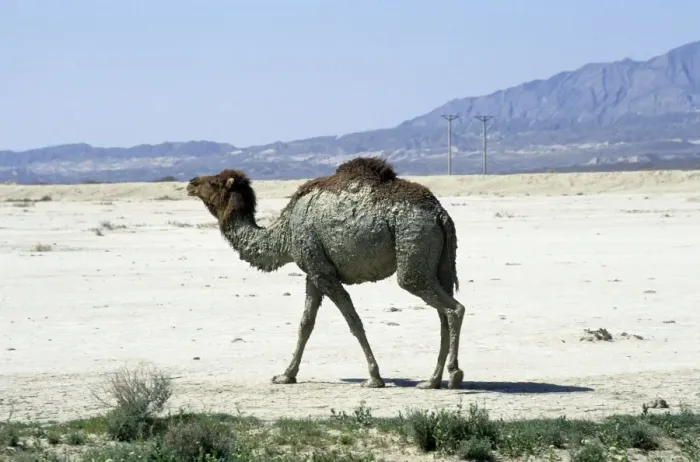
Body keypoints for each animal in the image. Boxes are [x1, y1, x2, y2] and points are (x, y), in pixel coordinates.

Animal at [186, 157, 466, 389]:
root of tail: (441, 215)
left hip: (412, 244)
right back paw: (432, 380)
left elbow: (353, 320)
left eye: (214, 182)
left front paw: (374, 377)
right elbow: (305, 324)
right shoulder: (313, 272)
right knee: (443, 312)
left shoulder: (323, 273)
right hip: (437, 263)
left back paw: (453, 375)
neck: (284, 232)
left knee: (452, 308)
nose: (191, 183)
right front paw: (285, 375)